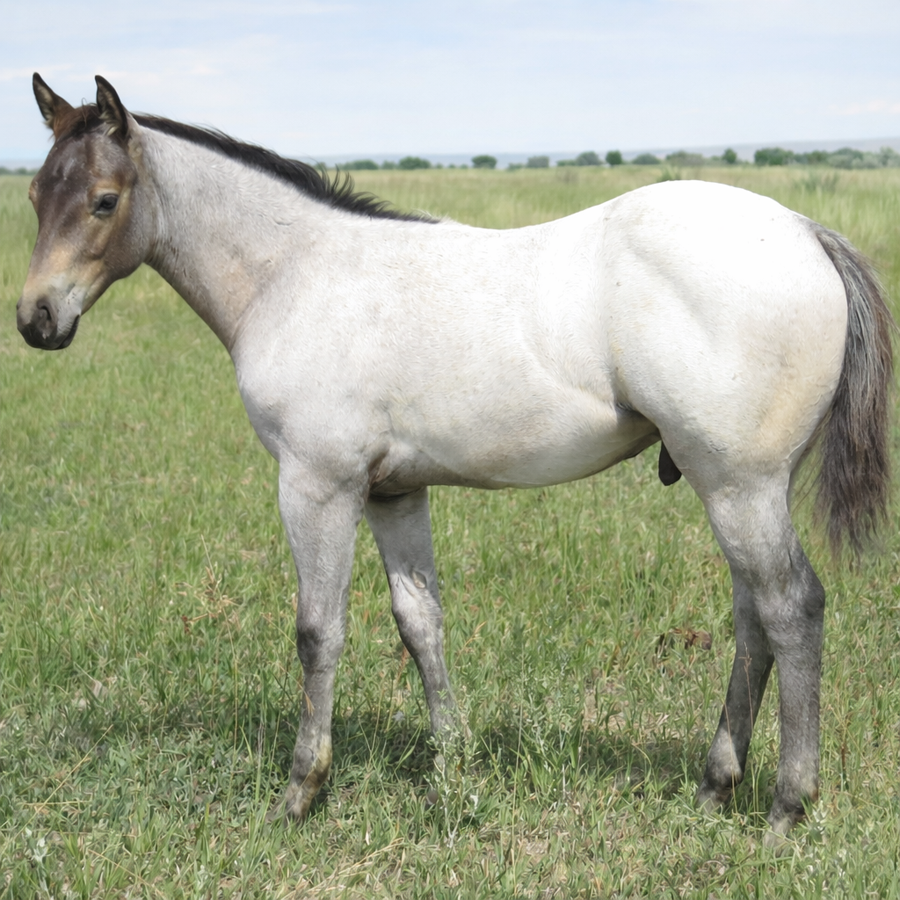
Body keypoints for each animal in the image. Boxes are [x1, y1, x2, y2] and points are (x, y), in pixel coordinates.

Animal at [16, 74, 894, 846]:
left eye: (104, 200)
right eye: (33, 198)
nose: (35, 318)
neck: (297, 275)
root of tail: (805, 232)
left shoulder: (317, 485)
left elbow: (318, 630)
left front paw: (301, 791)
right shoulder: (393, 493)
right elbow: (421, 623)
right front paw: (453, 766)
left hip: (739, 485)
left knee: (791, 608)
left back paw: (786, 807)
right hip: (735, 488)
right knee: (753, 619)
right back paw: (715, 787)